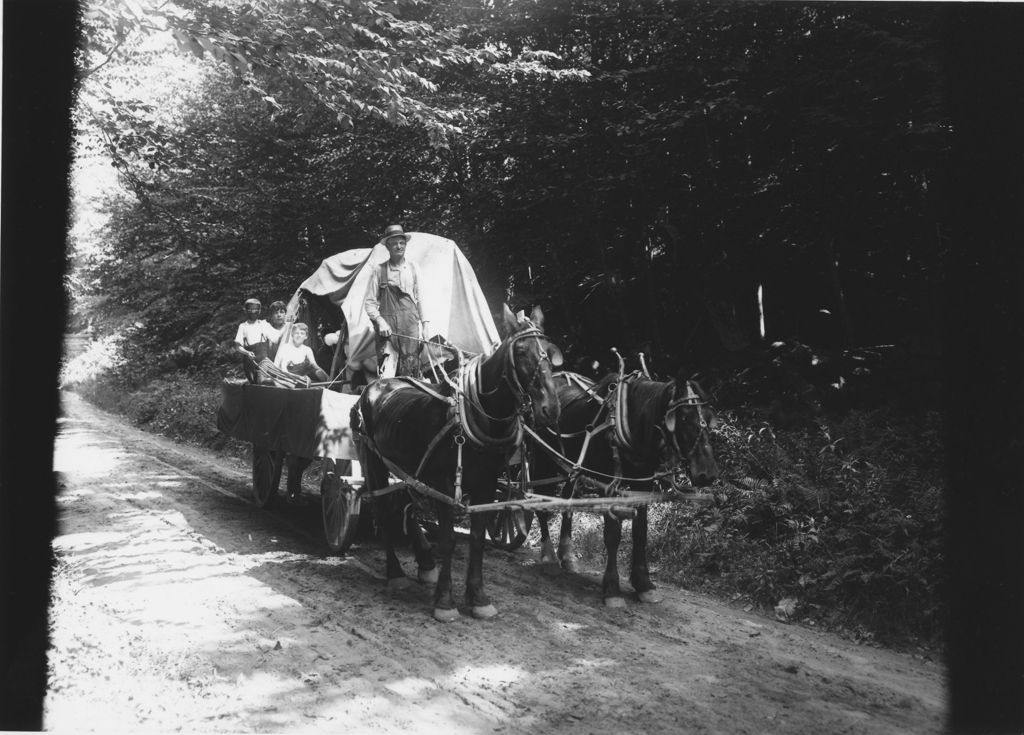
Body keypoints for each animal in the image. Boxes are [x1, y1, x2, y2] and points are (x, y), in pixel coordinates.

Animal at [352, 305, 561, 622]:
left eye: (550, 351)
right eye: (522, 352)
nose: (551, 408)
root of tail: (377, 383)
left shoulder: (486, 486)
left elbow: (476, 539)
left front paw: (478, 598)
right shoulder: (446, 488)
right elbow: (448, 539)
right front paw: (445, 601)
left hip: (410, 469)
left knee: (404, 504)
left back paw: (425, 563)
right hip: (374, 459)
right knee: (384, 509)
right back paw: (395, 573)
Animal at [532, 370, 716, 606]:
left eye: (709, 417)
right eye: (683, 417)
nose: (707, 473)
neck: (630, 424)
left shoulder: (642, 485)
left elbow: (641, 532)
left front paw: (644, 584)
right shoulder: (608, 485)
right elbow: (613, 534)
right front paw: (612, 589)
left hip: (572, 466)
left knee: (567, 502)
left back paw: (567, 555)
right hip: (542, 457)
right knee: (539, 501)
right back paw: (549, 558)